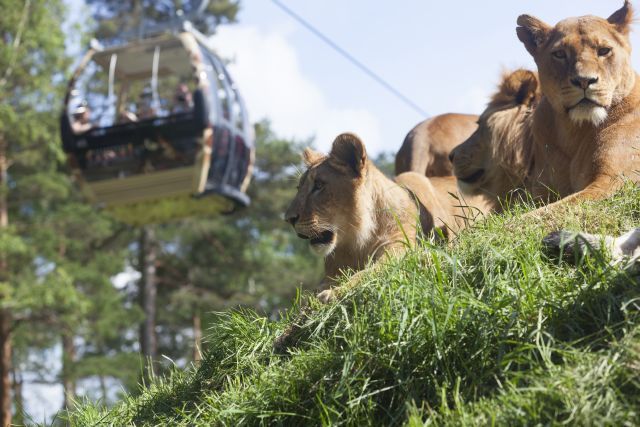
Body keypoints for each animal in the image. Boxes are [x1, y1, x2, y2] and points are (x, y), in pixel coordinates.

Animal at [286, 132, 484, 302]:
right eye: (298, 188)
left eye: (319, 185)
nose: (288, 219)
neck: (356, 242)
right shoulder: (332, 272)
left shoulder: (399, 249)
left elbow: (367, 273)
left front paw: (334, 293)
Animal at [450, 1, 640, 217]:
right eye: (560, 54)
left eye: (604, 50)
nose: (584, 81)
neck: (574, 133)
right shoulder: (538, 192)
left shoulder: (615, 181)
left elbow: (543, 212)